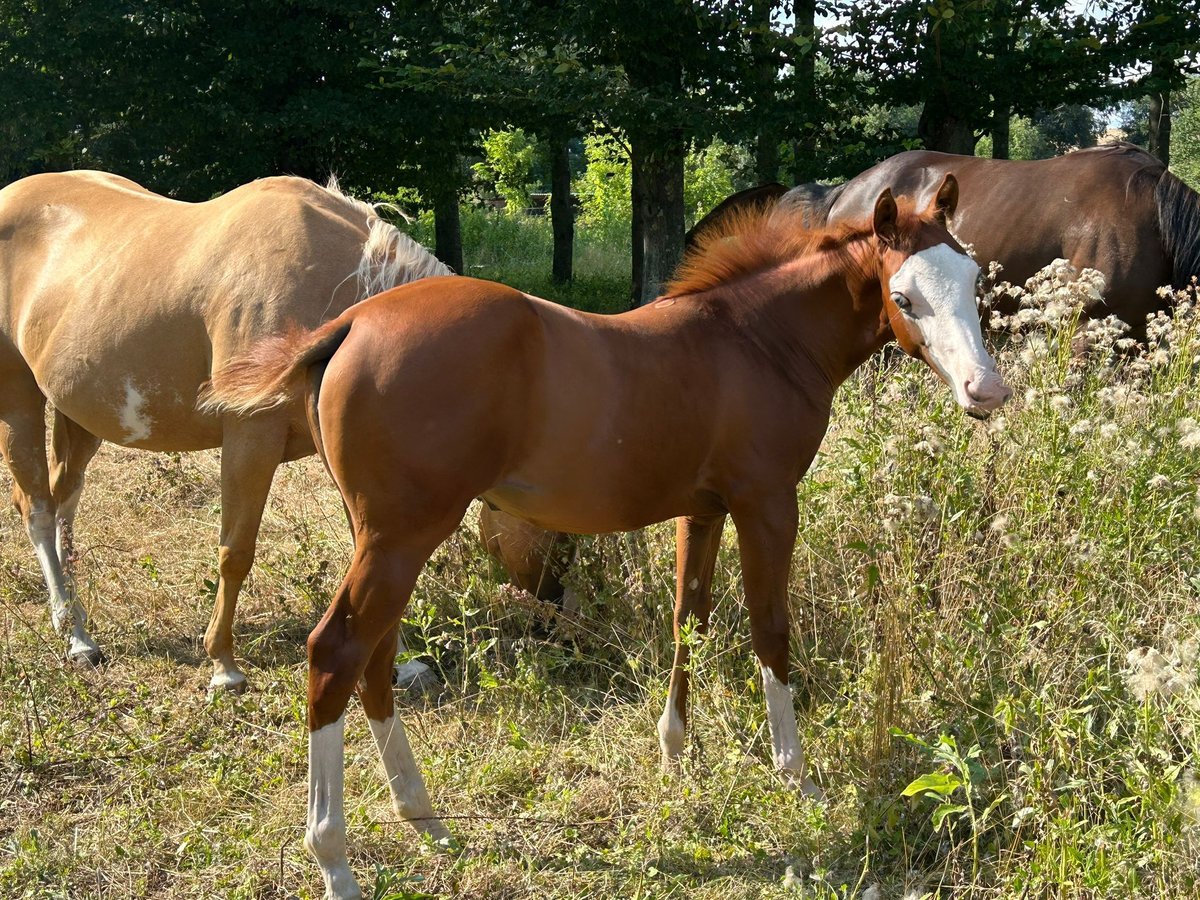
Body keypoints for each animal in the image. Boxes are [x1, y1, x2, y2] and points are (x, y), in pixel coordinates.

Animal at [0, 170, 451, 691]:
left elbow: (372, 556)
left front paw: (399, 662)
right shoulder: (249, 435)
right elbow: (235, 551)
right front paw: (223, 665)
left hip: (80, 412)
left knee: (63, 503)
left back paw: (70, 621)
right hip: (18, 401)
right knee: (37, 510)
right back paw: (78, 639)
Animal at [201, 177, 1008, 900]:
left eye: (970, 279)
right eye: (905, 297)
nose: (986, 392)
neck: (757, 341)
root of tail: (349, 326)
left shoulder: (701, 511)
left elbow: (689, 619)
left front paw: (675, 756)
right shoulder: (767, 503)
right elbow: (770, 631)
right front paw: (797, 779)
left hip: (382, 537)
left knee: (374, 658)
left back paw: (425, 820)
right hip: (401, 536)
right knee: (335, 652)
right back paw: (335, 863)